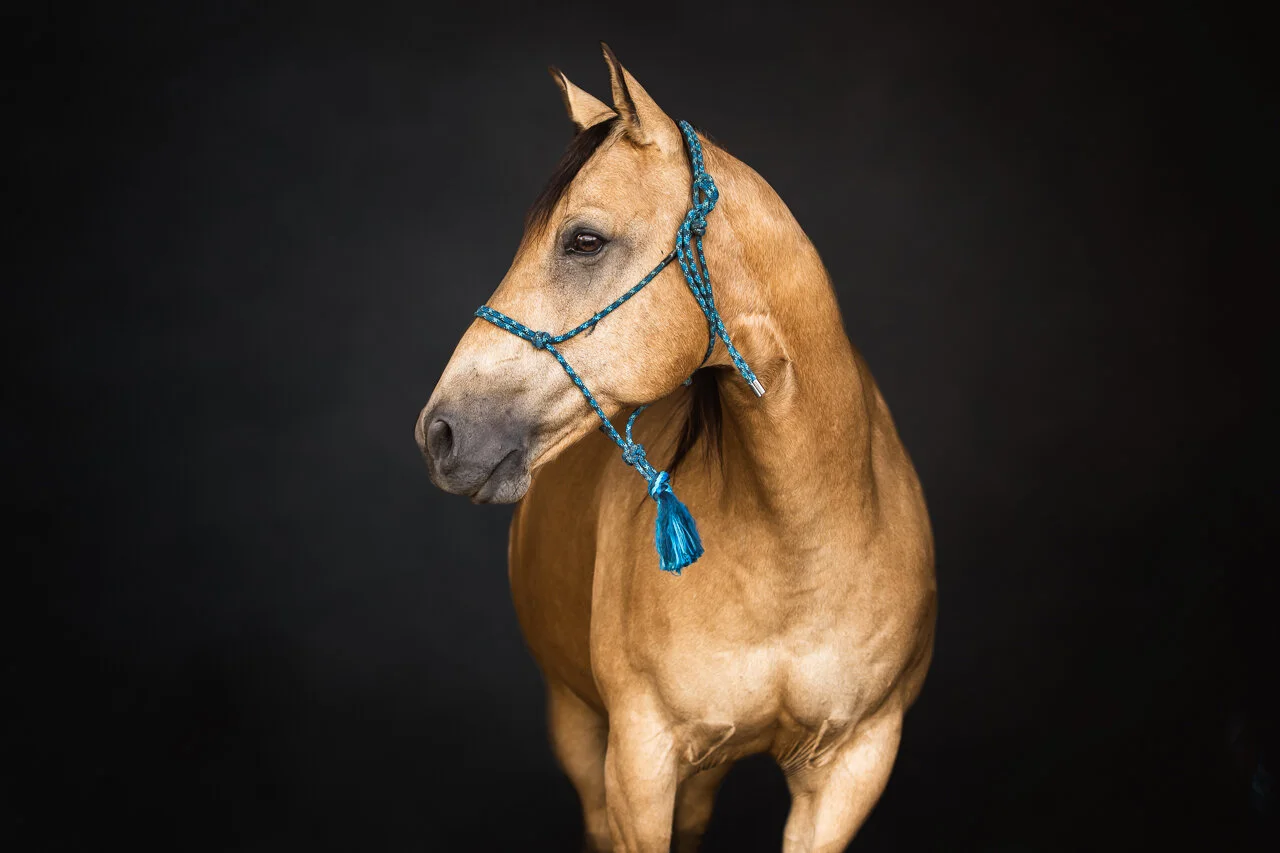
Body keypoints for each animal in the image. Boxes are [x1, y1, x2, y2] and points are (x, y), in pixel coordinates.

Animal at [416, 44, 936, 853]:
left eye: (584, 239)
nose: (439, 430)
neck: (801, 535)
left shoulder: (852, 764)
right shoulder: (641, 762)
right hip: (578, 722)